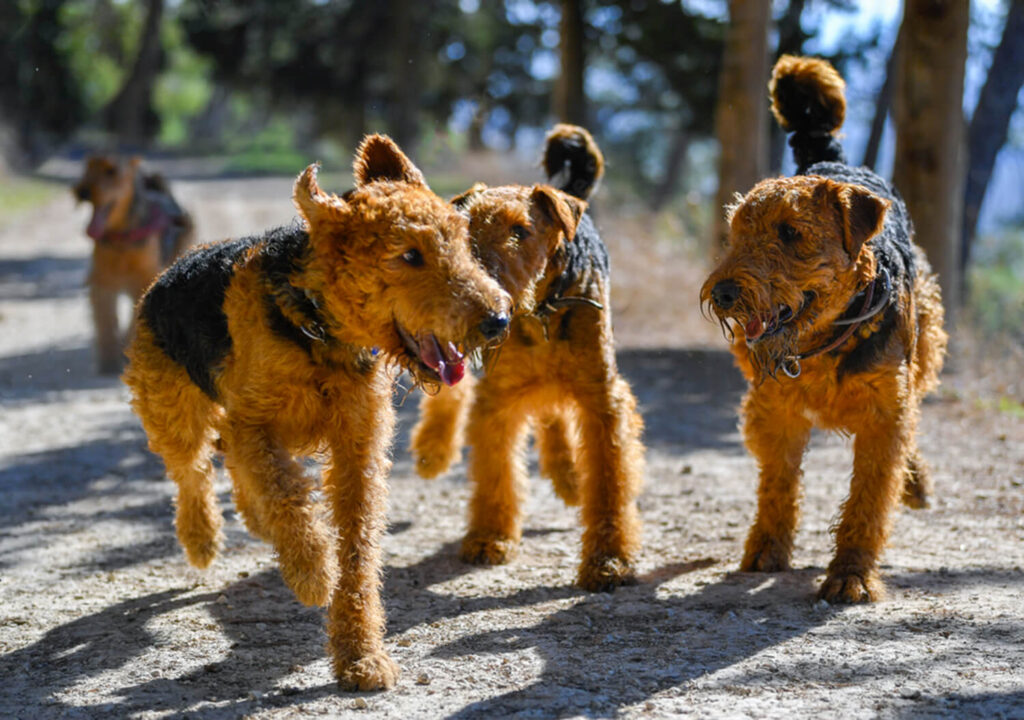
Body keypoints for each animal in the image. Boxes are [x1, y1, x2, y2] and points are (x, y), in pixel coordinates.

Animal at [122, 135, 512, 692]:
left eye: (460, 240)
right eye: (408, 254)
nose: (497, 319)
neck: (320, 328)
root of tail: (167, 274)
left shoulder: (359, 448)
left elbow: (356, 550)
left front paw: (360, 656)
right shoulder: (256, 424)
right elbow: (288, 498)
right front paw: (312, 574)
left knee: (233, 473)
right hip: (175, 415)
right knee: (193, 474)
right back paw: (203, 540)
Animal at [700, 59, 946, 606]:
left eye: (791, 232)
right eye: (737, 231)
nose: (723, 293)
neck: (826, 340)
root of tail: (833, 164)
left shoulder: (883, 416)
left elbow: (869, 501)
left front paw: (851, 575)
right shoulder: (775, 412)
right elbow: (779, 485)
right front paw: (766, 549)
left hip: (925, 349)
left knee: (915, 418)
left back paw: (917, 484)